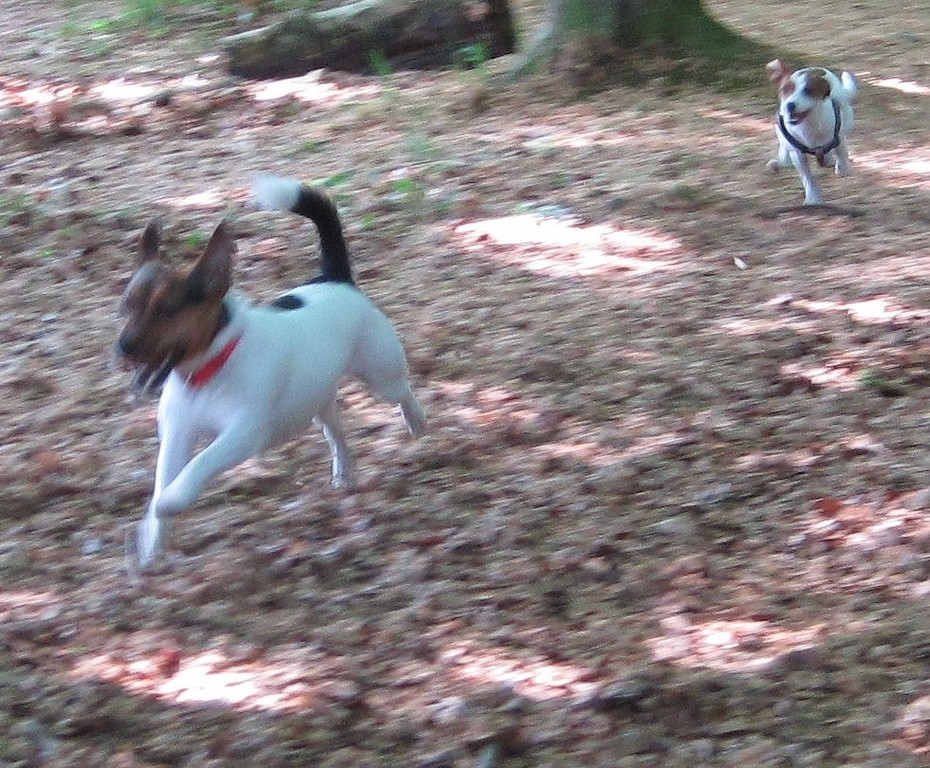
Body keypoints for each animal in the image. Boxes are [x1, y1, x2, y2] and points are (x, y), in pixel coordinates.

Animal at [116, 175, 427, 570]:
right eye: (127, 305)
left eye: (167, 310)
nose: (122, 347)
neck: (208, 373)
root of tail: (333, 279)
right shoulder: (177, 434)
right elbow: (166, 475)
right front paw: (152, 542)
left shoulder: (243, 433)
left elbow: (199, 464)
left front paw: (170, 502)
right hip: (315, 399)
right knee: (336, 432)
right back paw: (344, 471)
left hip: (380, 372)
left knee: (401, 391)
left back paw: (416, 421)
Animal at [765, 59, 858, 205]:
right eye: (784, 89)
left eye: (808, 91)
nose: (790, 105)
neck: (808, 126)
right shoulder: (797, 153)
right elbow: (807, 178)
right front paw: (813, 197)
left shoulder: (838, 137)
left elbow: (841, 155)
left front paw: (841, 166)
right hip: (780, 131)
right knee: (784, 149)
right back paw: (780, 162)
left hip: (847, 120)